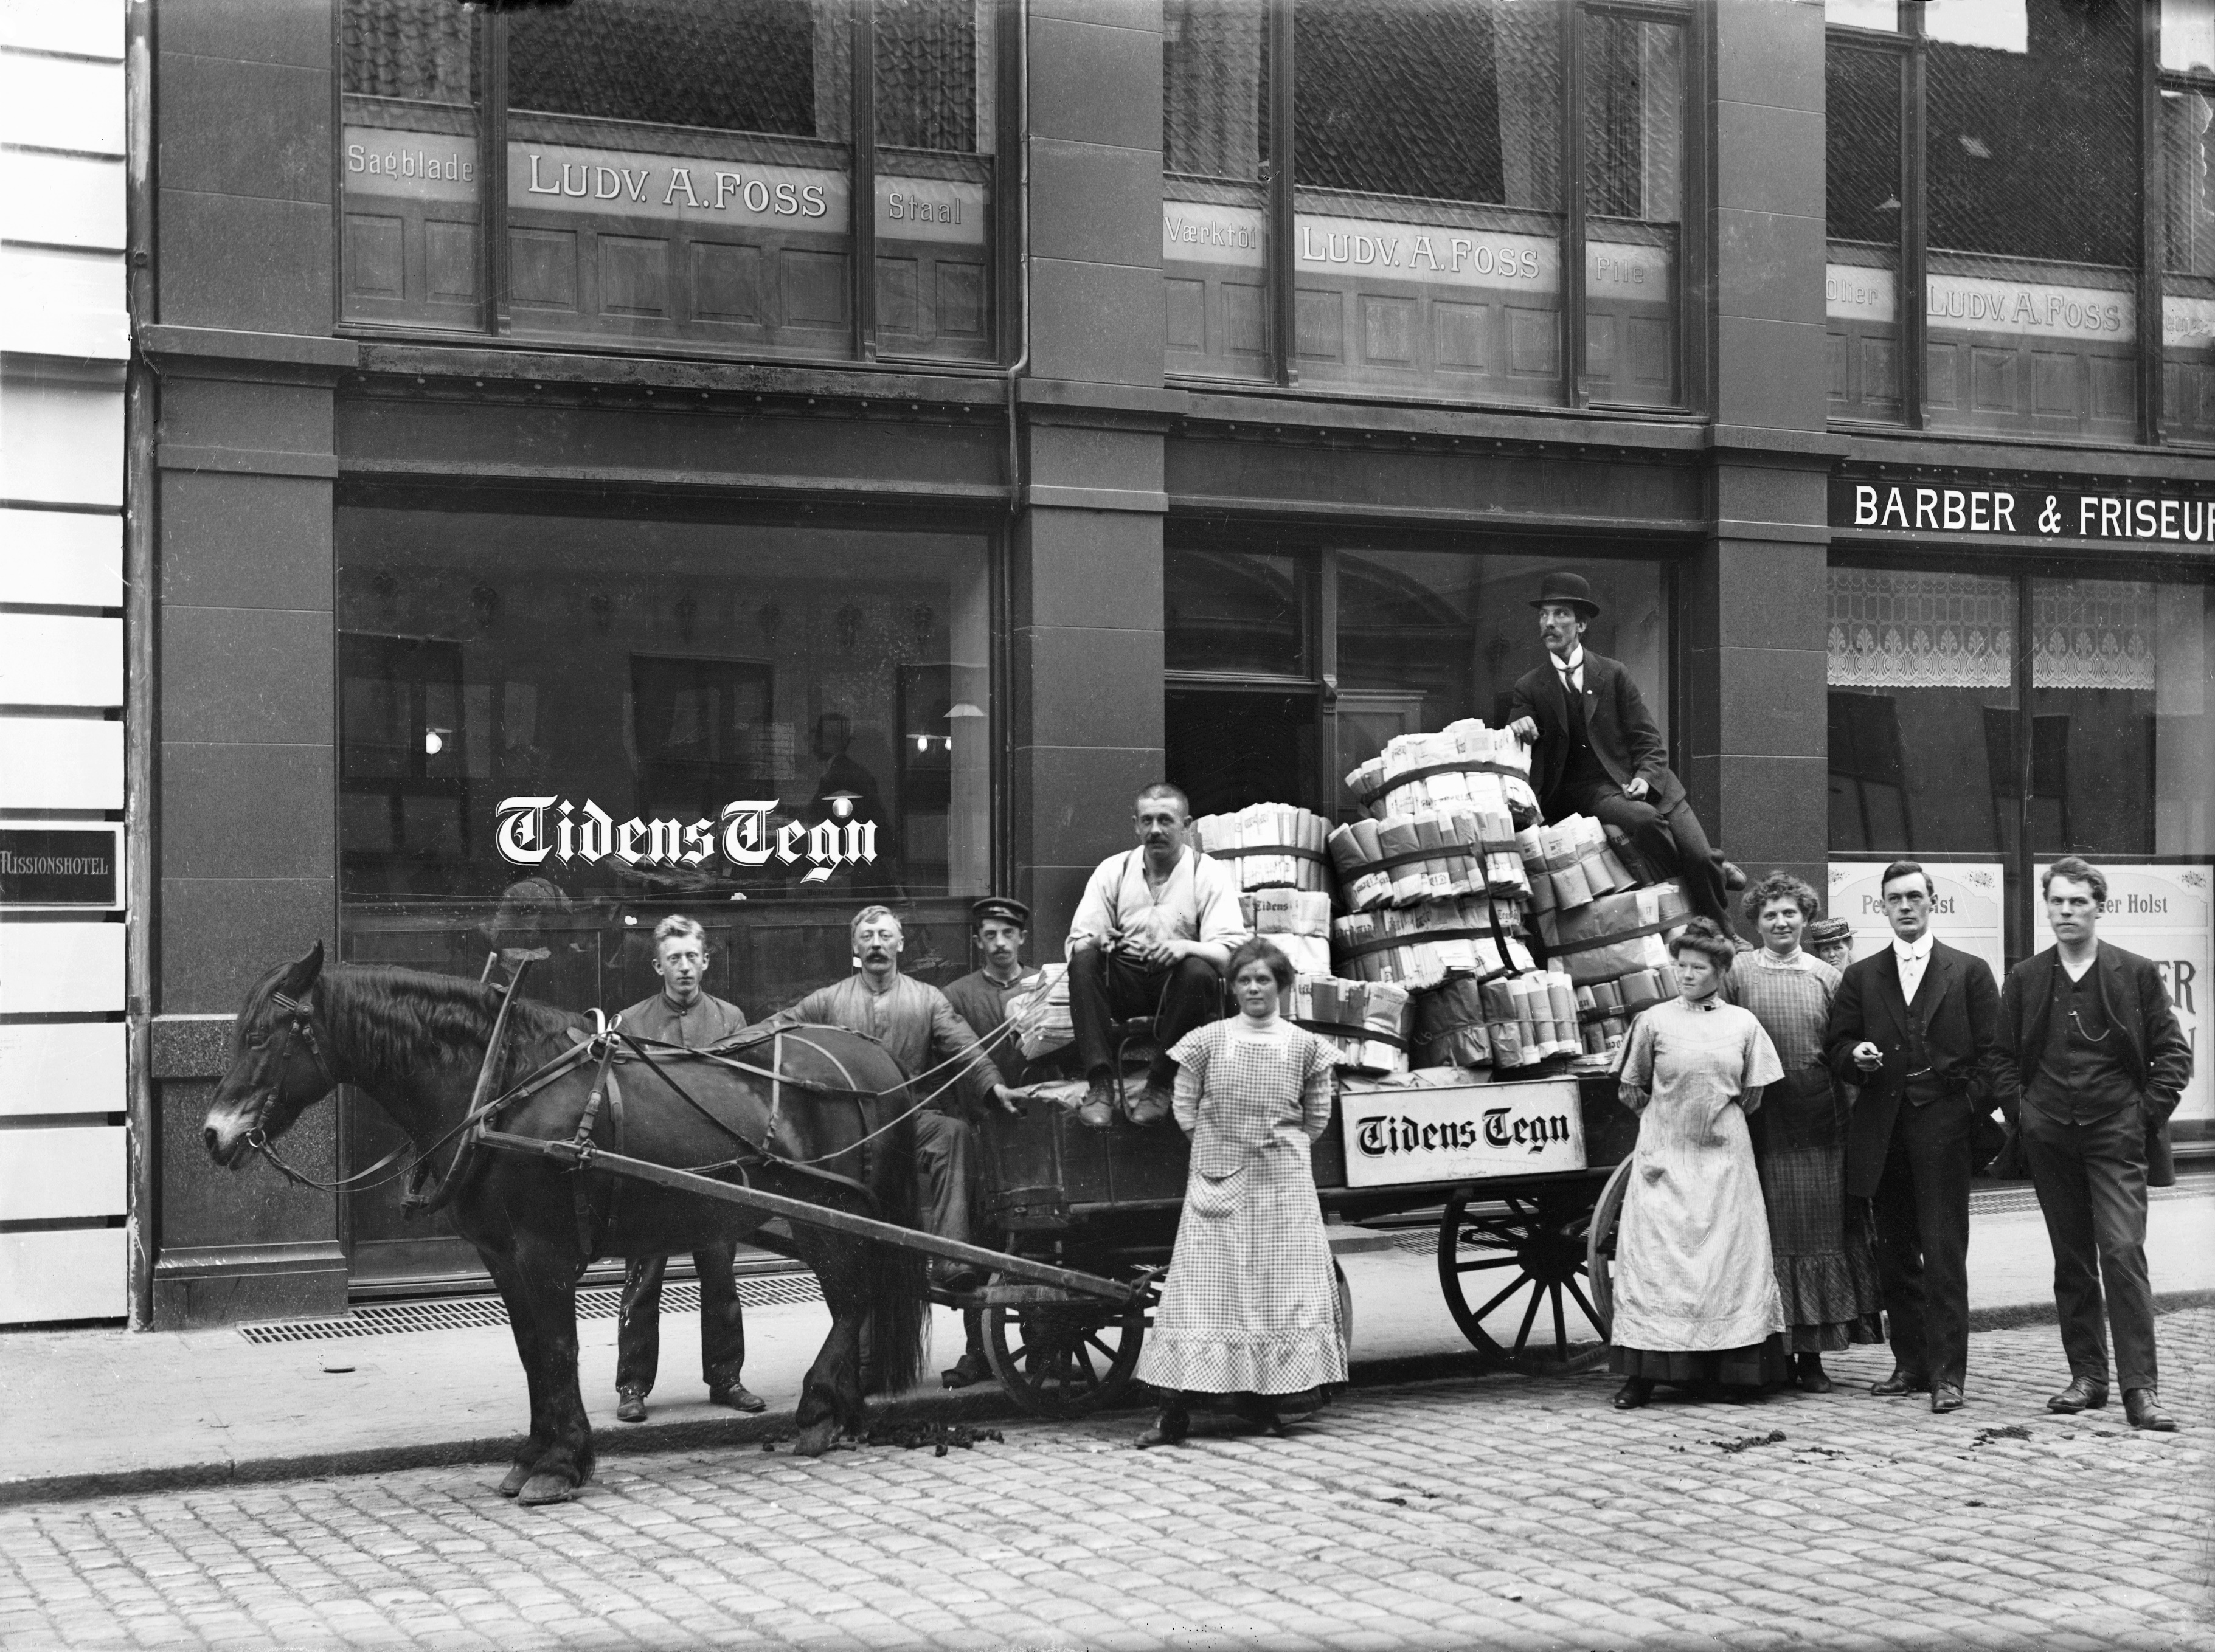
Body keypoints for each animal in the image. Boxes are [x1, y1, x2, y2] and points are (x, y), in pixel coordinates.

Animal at [201, 939, 934, 1497]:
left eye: (260, 1036)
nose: (213, 1134)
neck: (501, 1087)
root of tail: (873, 1053)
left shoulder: (543, 1251)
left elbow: (558, 1348)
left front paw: (559, 1464)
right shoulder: (502, 1256)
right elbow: (532, 1352)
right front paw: (536, 1453)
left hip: (829, 1213)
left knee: (852, 1301)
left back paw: (819, 1410)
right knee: (853, 1301)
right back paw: (844, 1410)